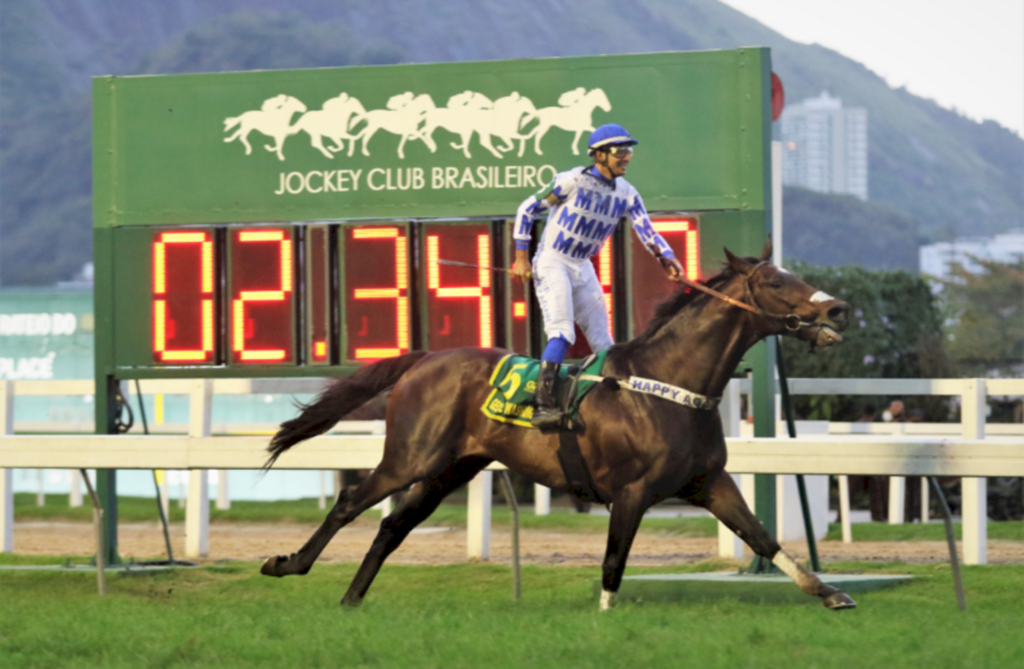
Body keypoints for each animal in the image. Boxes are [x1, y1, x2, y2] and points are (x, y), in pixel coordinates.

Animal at [258, 241, 856, 610]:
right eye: (776, 282)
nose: (840, 309)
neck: (669, 384)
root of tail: (425, 357)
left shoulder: (708, 483)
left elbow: (762, 537)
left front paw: (830, 592)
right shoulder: (632, 490)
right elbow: (614, 560)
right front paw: (605, 615)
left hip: (449, 470)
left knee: (391, 527)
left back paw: (352, 598)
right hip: (411, 456)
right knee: (349, 503)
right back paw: (289, 564)